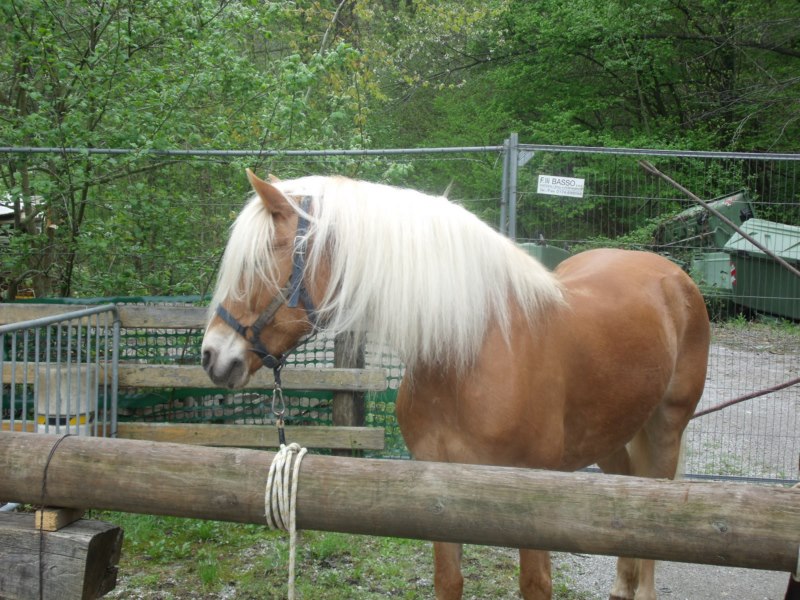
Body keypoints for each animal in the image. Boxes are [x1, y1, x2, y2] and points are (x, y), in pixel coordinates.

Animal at [202, 170, 712, 600]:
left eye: (258, 263)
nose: (212, 356)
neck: (471, 355)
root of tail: (672, 275)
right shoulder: (440, 492)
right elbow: (448, 580)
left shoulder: (533, 503)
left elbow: (535, 584)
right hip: (610, 435)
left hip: (665, 430)